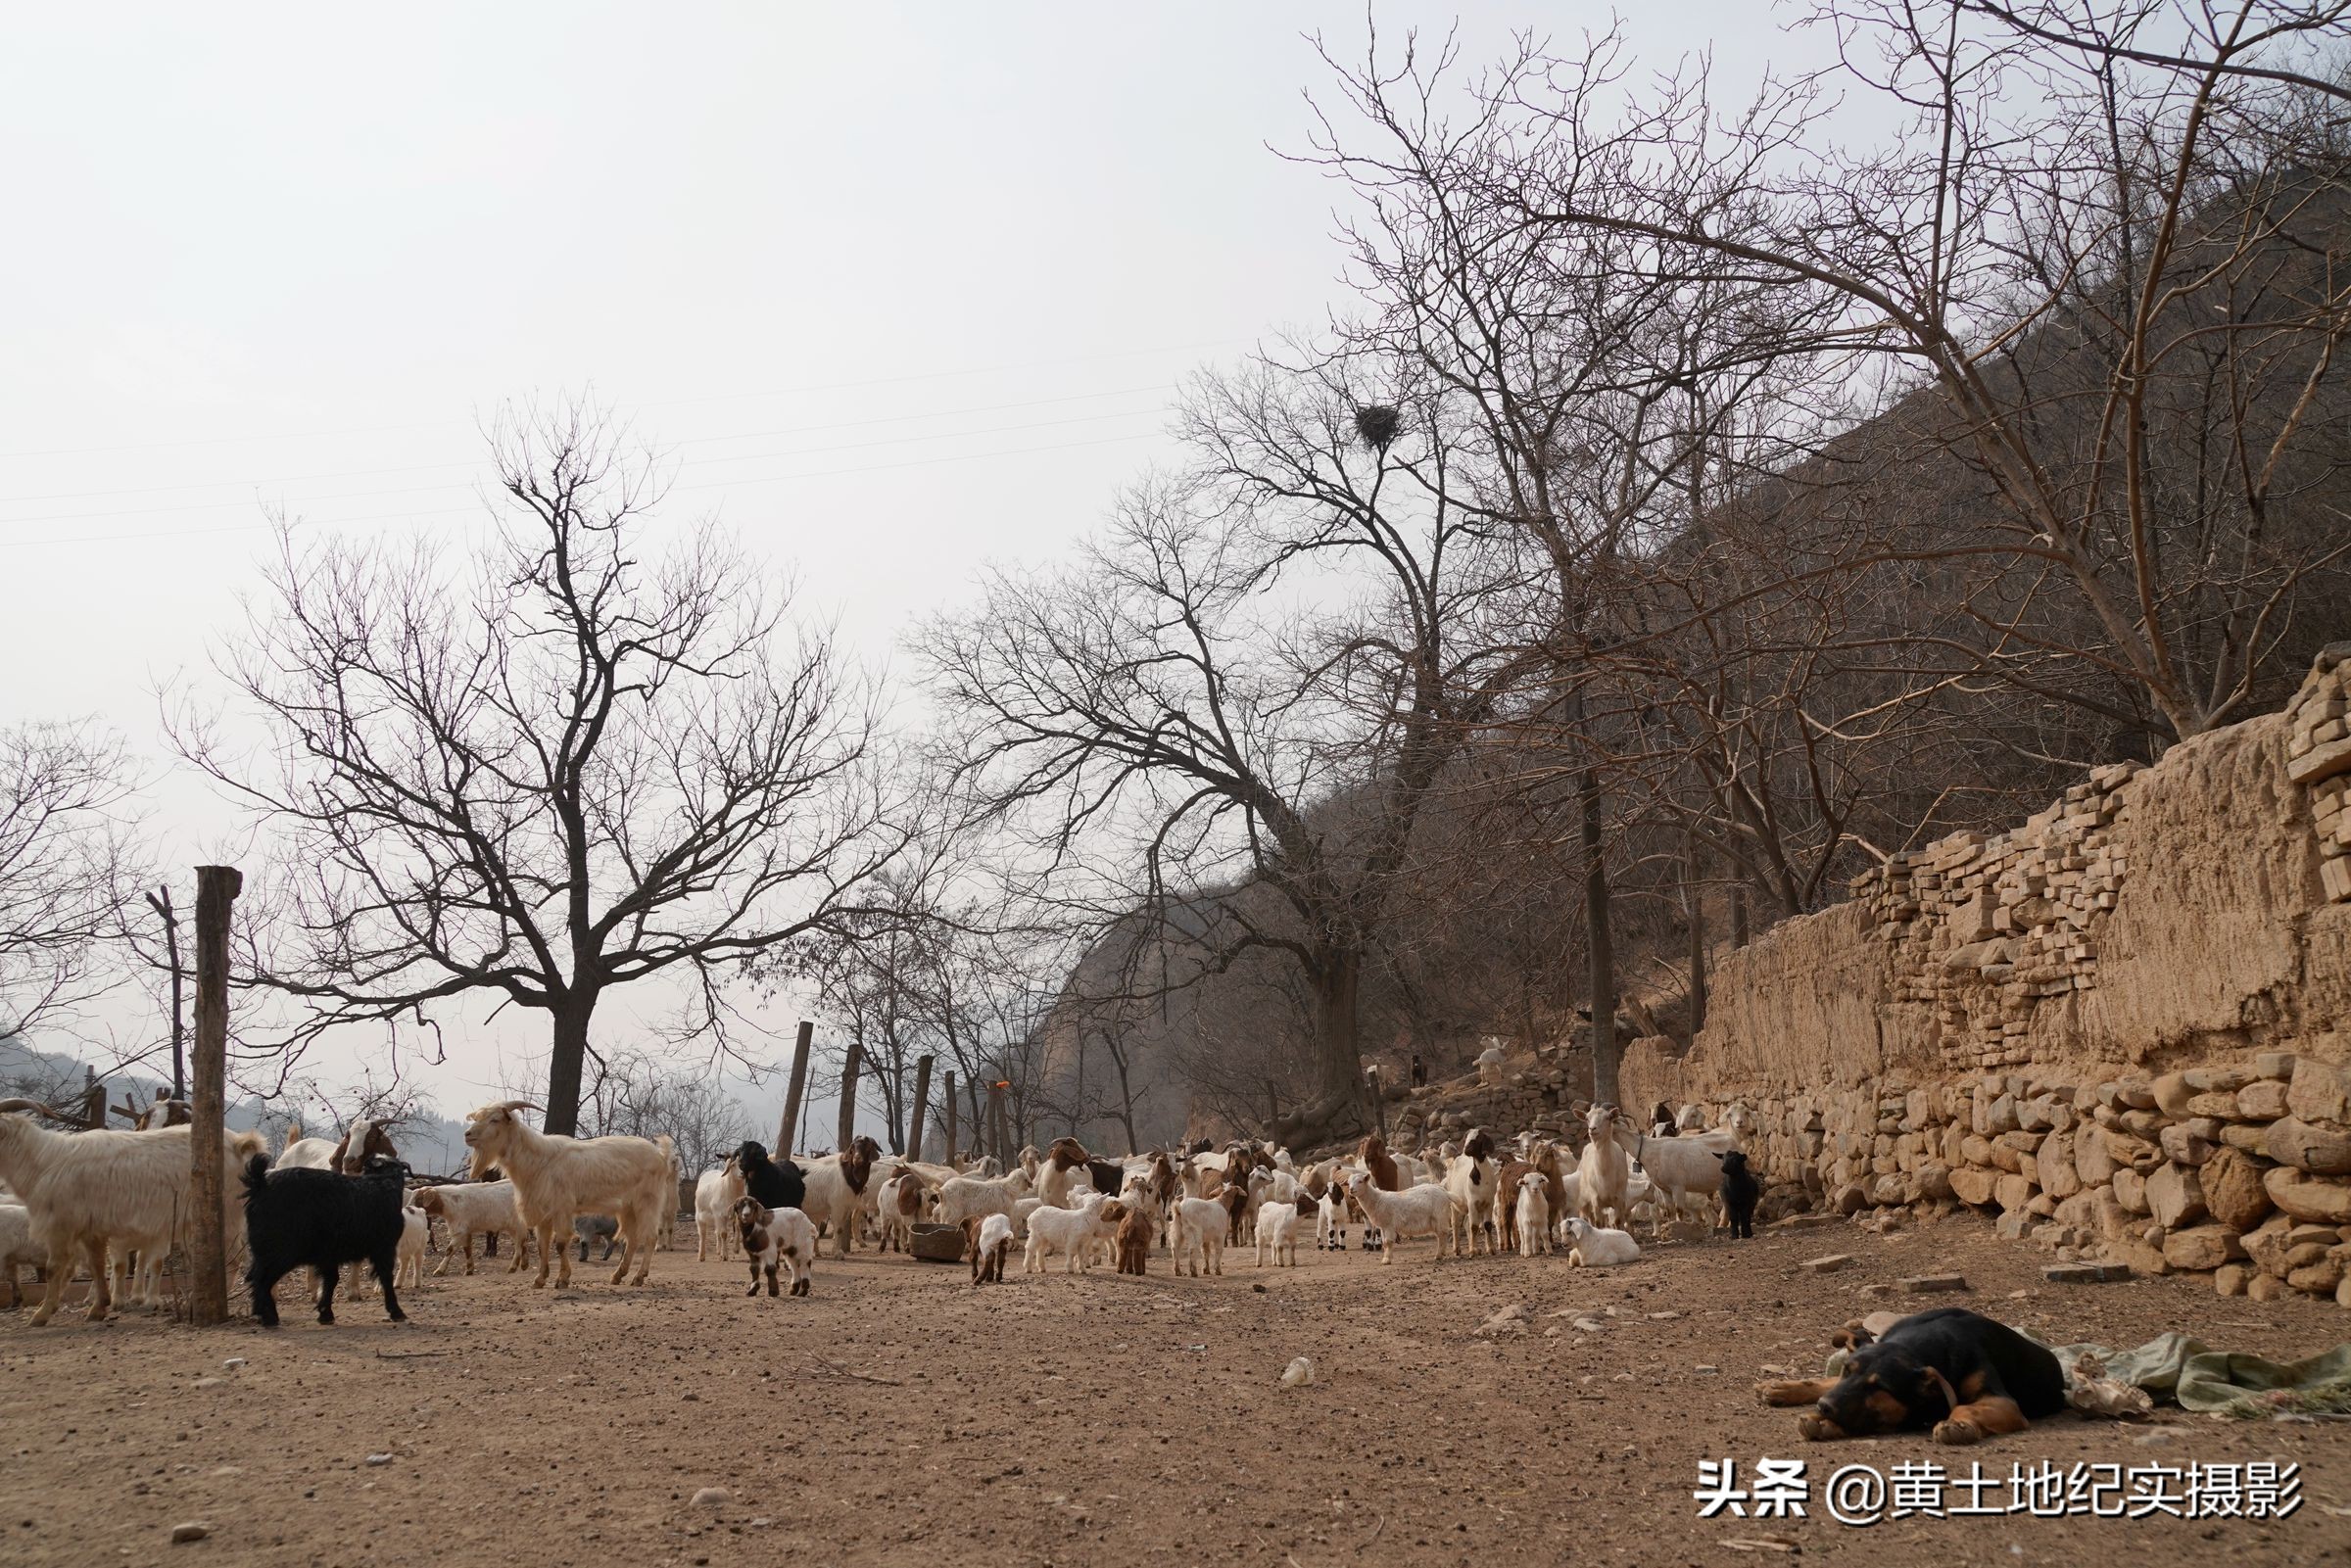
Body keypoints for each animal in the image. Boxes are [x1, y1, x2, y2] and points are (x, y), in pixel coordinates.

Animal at [245, 1147, 411, 1335]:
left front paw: (325, 1314)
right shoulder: (384, 1248)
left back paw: (263, 1314)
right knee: (261, 1279)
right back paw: (269, 1317)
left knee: (255, 1278)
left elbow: (331, 1280)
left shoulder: (328, 1254)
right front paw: (396, 1311)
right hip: (279, 1252)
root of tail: (260, 1185)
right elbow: (386, 1277)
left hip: (265, 1252)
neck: (383, 1183)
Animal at [462, 1105, 672, 1288]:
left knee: (650, 1236)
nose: (468, 1134)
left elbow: (561, 1244)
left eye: (495, 1119)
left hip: (648, 1201)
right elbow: (542, 1244)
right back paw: (618, 1275)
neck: (539, 1160)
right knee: (632, 1238)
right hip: (627, 1207)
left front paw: (562, 1280)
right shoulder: (543, 1212)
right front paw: (540, 1279)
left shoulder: (561, 1208)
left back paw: (639, 1277)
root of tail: (661, 1155)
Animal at [1758, 1297, 2069, 1448]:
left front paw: (1957, 1425)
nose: (1823, 1408)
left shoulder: (2003, 1402)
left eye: (1879, 1387)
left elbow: (1963, 1407)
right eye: (1848, 1369)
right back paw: (1779, 1388)